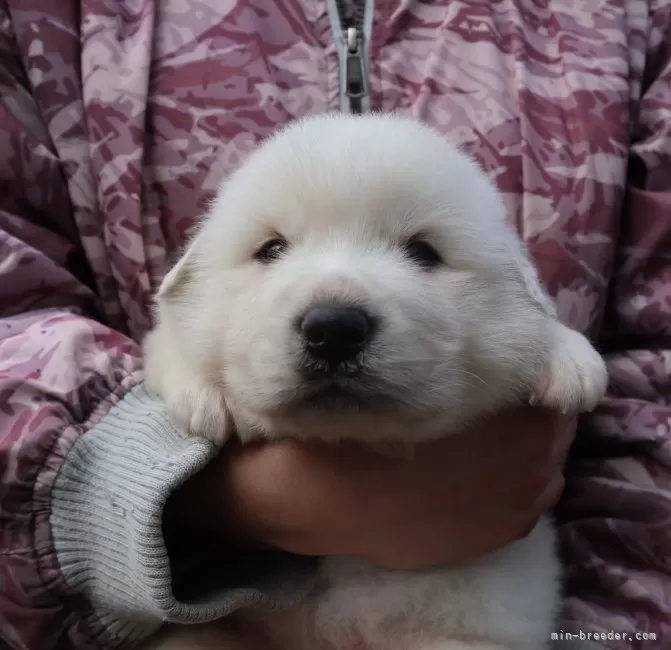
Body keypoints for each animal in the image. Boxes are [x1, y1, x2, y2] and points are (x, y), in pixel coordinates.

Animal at [142, 112, 608, 648]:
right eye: (272, 249)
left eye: (424, 252)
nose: (333, 331)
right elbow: (163, 340)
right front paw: (205, 394)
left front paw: (568, 357)